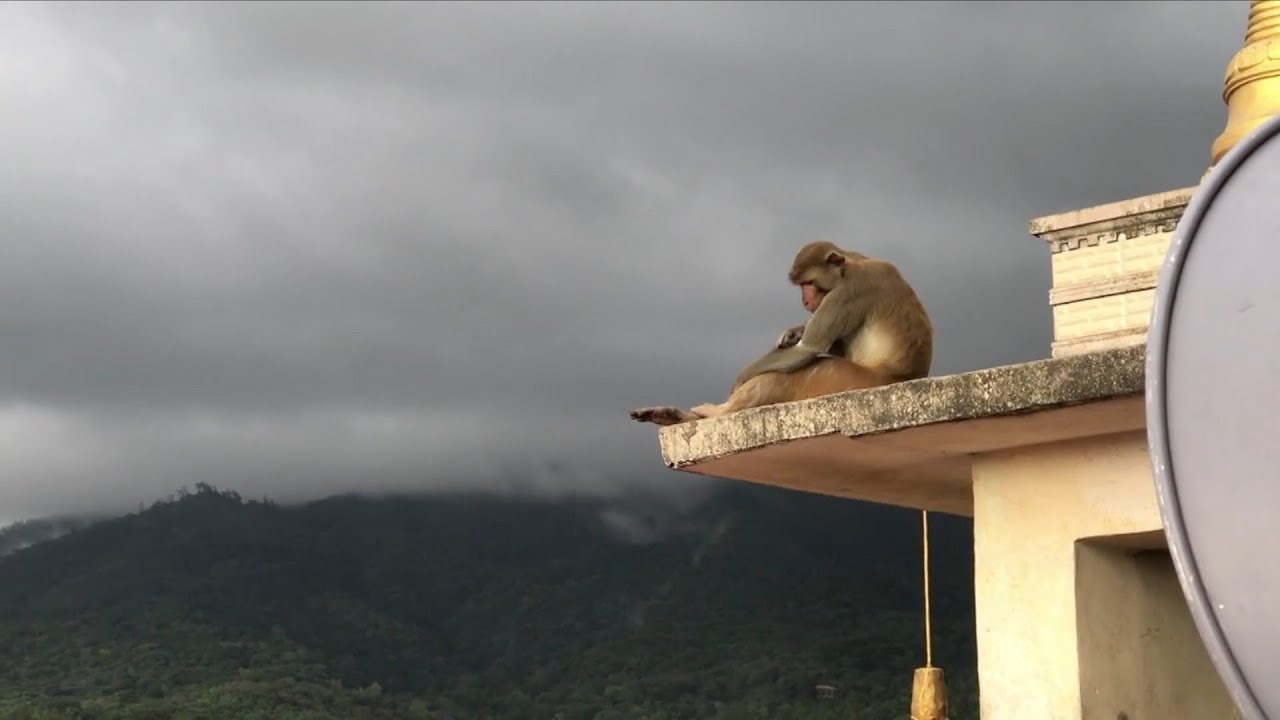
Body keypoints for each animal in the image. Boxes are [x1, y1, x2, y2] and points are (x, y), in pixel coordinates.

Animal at [629, 241, 932, 426]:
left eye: (809, 283)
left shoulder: (850, 290)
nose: (805, 300)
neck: (849, 267)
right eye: (801, 286)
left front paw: (737, 383)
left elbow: (808, 350)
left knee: (793, 374)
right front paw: (792, 332)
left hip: (851, 381)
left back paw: (717, 412)